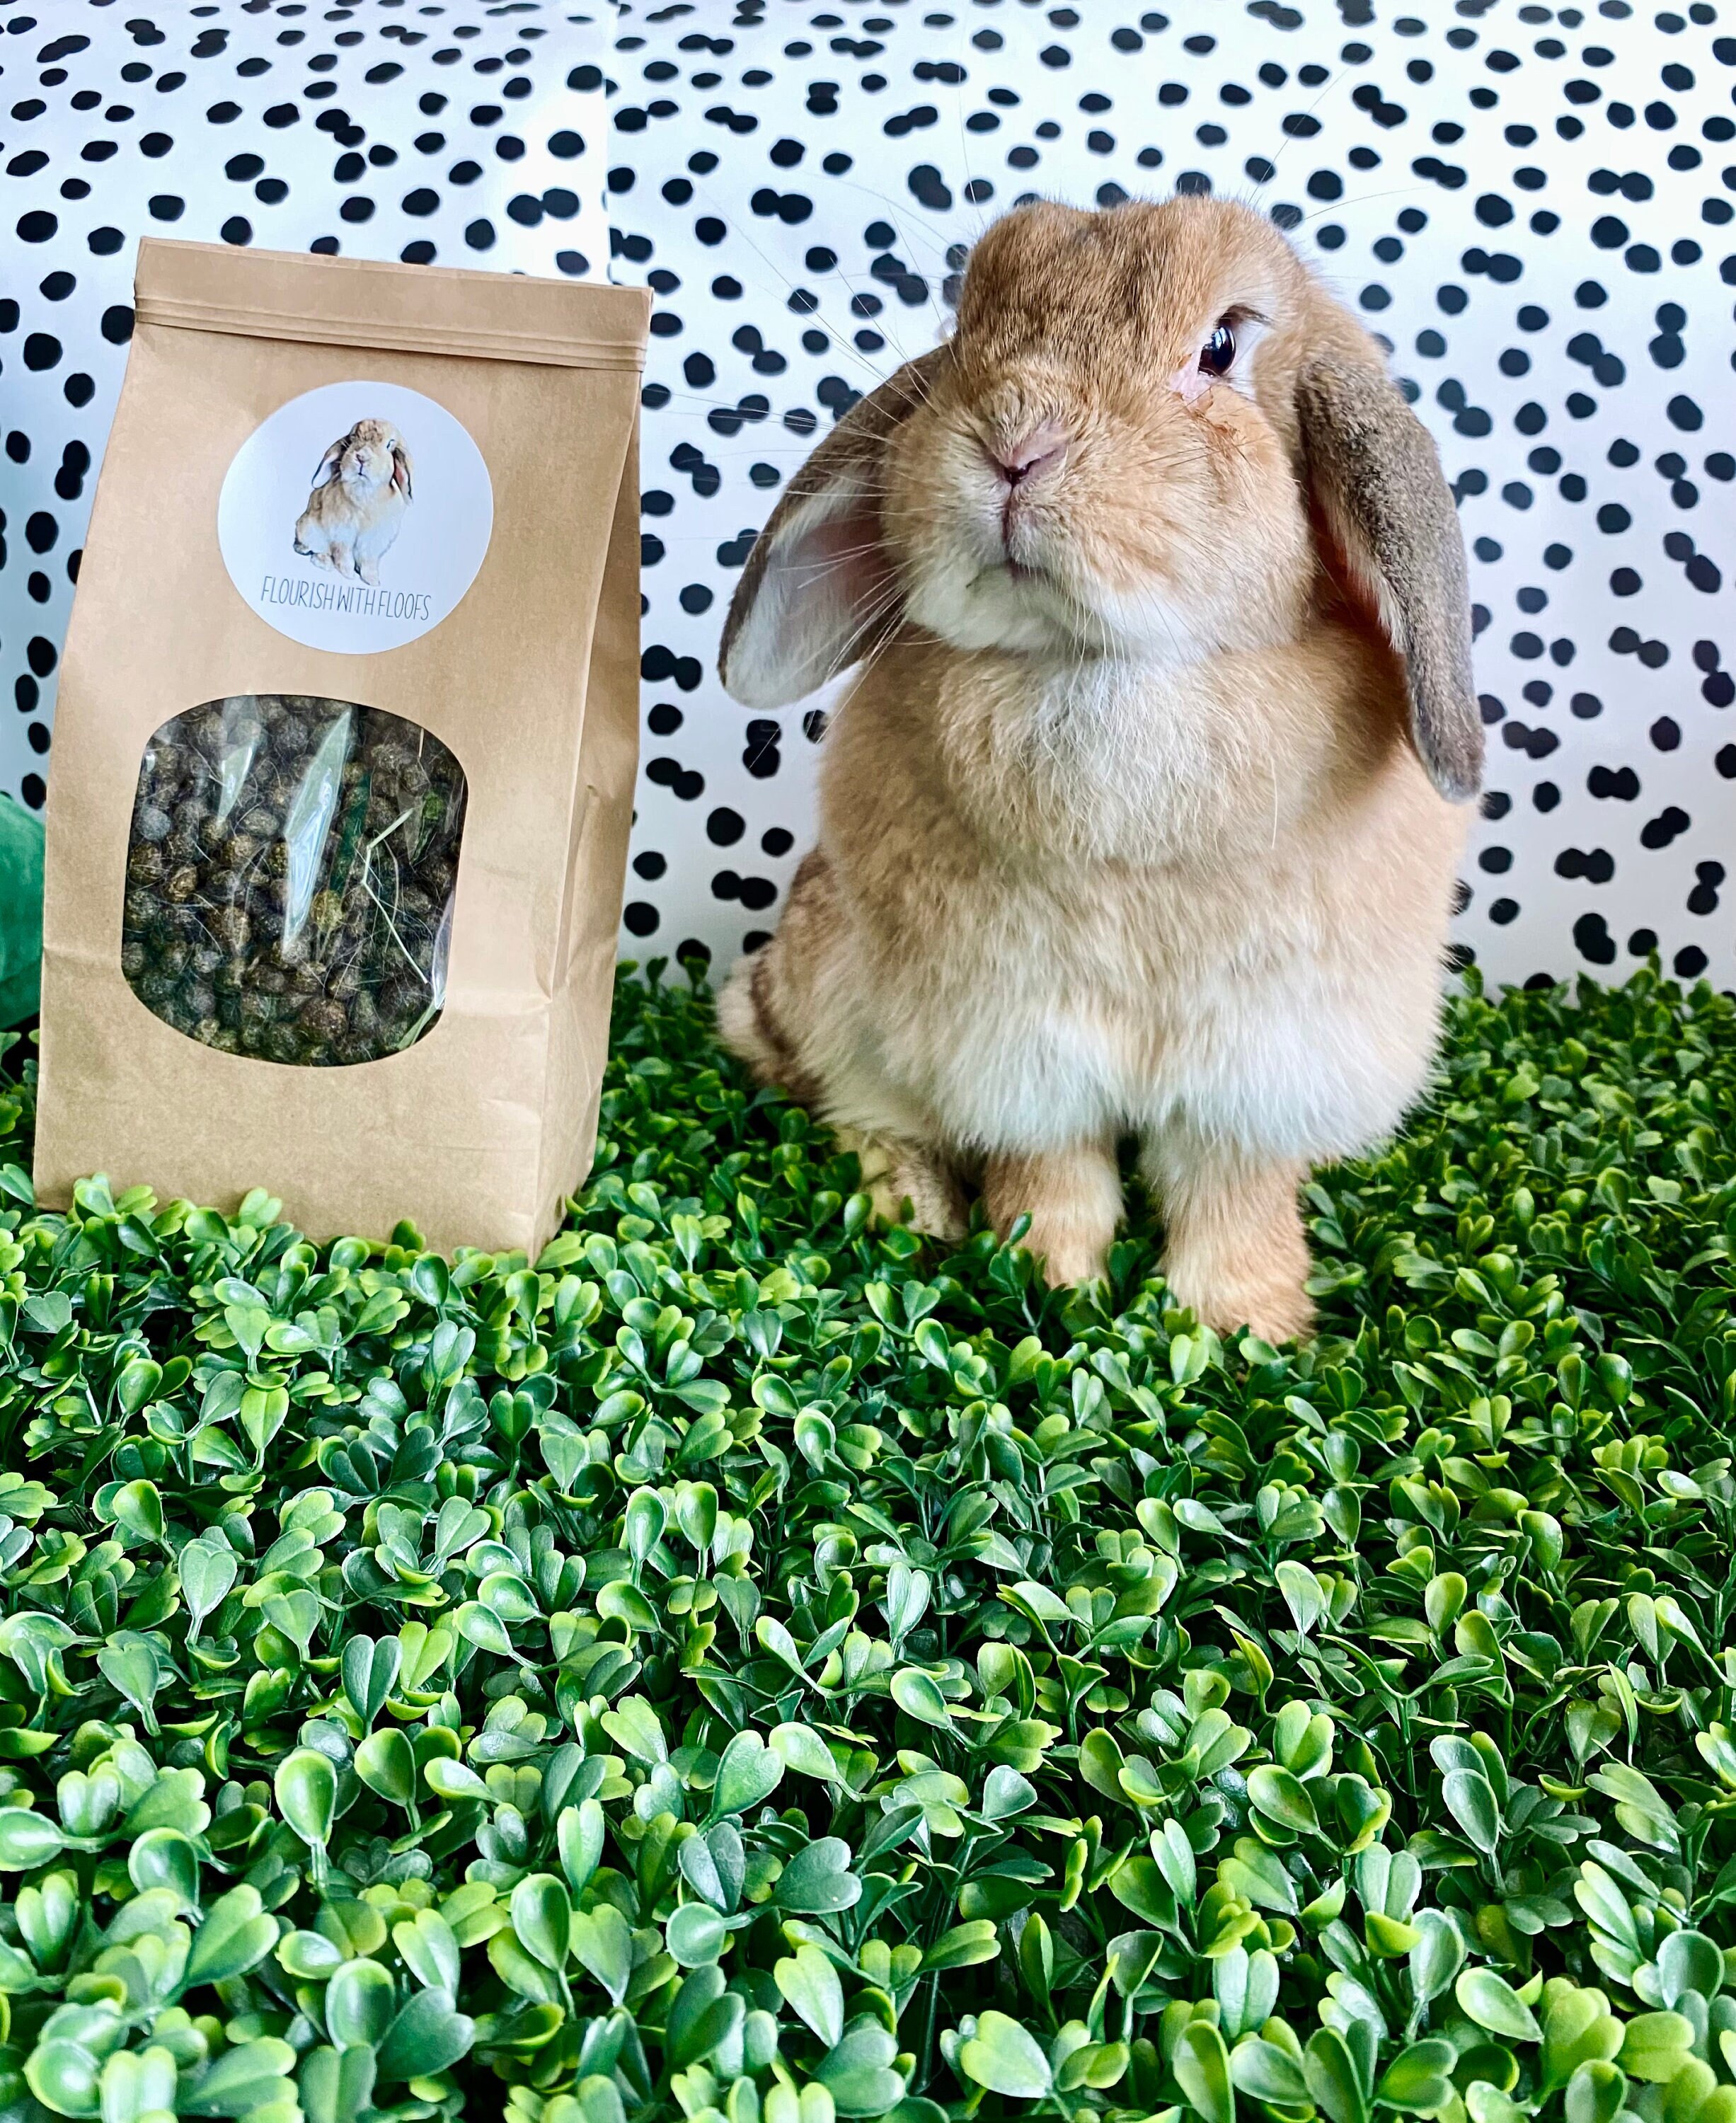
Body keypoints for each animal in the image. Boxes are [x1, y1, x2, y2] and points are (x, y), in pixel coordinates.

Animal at [293, 417, 414, 586]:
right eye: (353, 438)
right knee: (316, 550)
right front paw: (348, 575)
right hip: (311, 531)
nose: (361, 457)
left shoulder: (371, 542)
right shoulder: (342, 537)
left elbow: (368, 563)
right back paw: (324, 562)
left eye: (389, 445)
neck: (365, 491)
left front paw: (373, 581)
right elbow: (344, 557)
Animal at [711, 196, 1482, 1345]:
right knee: (855, 1105)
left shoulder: (1265, 1057)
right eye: (967, 322)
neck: (1107, 663)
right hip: (830, 982)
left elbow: (1231, 1194)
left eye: (1221, 346)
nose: (1013, 443)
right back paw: (912, 1210)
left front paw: (1245, 1329)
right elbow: (1053, 1175)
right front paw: (1044, 1289)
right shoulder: (1012, 1036)